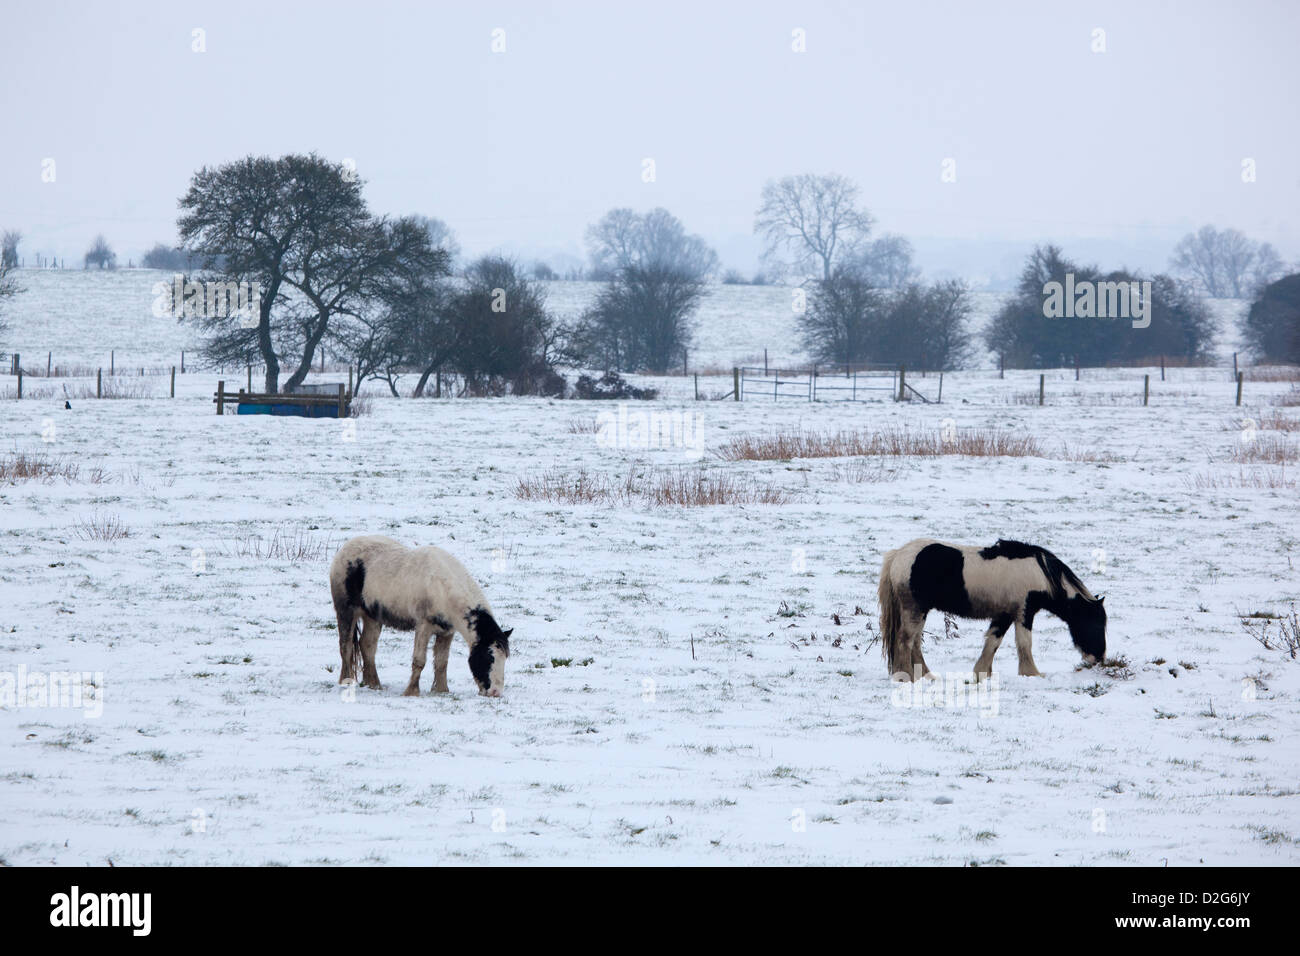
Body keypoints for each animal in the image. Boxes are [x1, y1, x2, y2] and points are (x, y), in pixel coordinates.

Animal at [330, 538, 512, 697]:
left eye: (505, 658)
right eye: (488, 657)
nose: (495, 692)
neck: (442, 588)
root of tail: (345, 549)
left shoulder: (447, 632)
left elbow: (441, 662)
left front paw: (442, 690)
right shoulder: (423, 627)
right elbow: (419, 661)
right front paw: (411, 691)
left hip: (372, 617)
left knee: (367, 645)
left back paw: (373, 684)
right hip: (346, 611)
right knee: (346, 647)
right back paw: (346, 682)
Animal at [873, 538, 1107, 681]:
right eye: (1095, 624)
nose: (1099, 658)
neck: (1041, 573)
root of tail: (899, 555)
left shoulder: (1004, 615)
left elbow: (993, 642)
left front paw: (982, 673)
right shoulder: (1024, 612)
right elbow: (1024, 643)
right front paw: (1032, 673)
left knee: (914, 643)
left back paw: (926, 676)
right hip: (915, 609)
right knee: (905, 641)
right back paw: (907, 677)